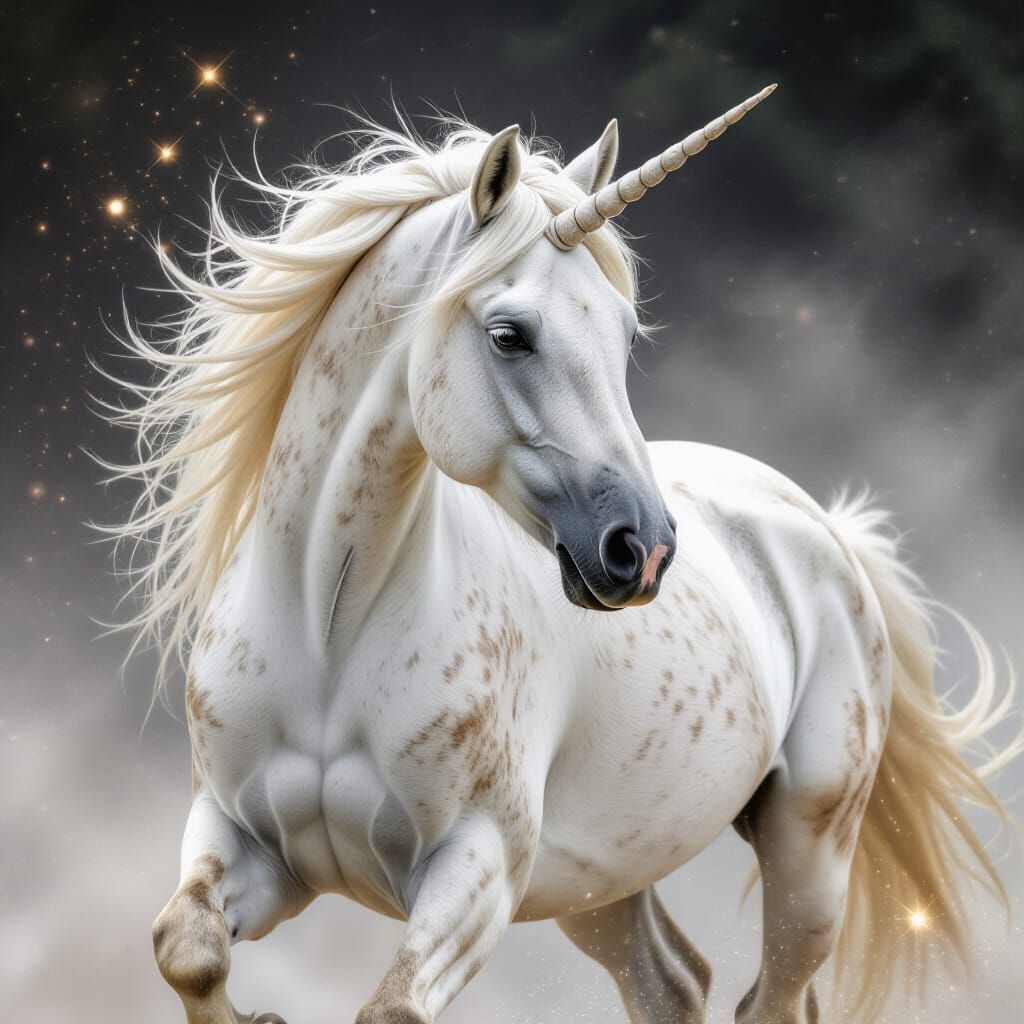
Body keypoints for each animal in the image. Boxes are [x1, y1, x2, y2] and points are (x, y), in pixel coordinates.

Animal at [108, 87, 1020, 1024]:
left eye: (626, 336)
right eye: (510, 334)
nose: (642, 550)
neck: (331, 625)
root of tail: (824, 530)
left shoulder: (477, 873)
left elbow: (390, 1007)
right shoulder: (242, 837)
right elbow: (188, 947)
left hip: (808, 856)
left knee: (767, 999)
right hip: (601, 883)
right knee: (674, 984)